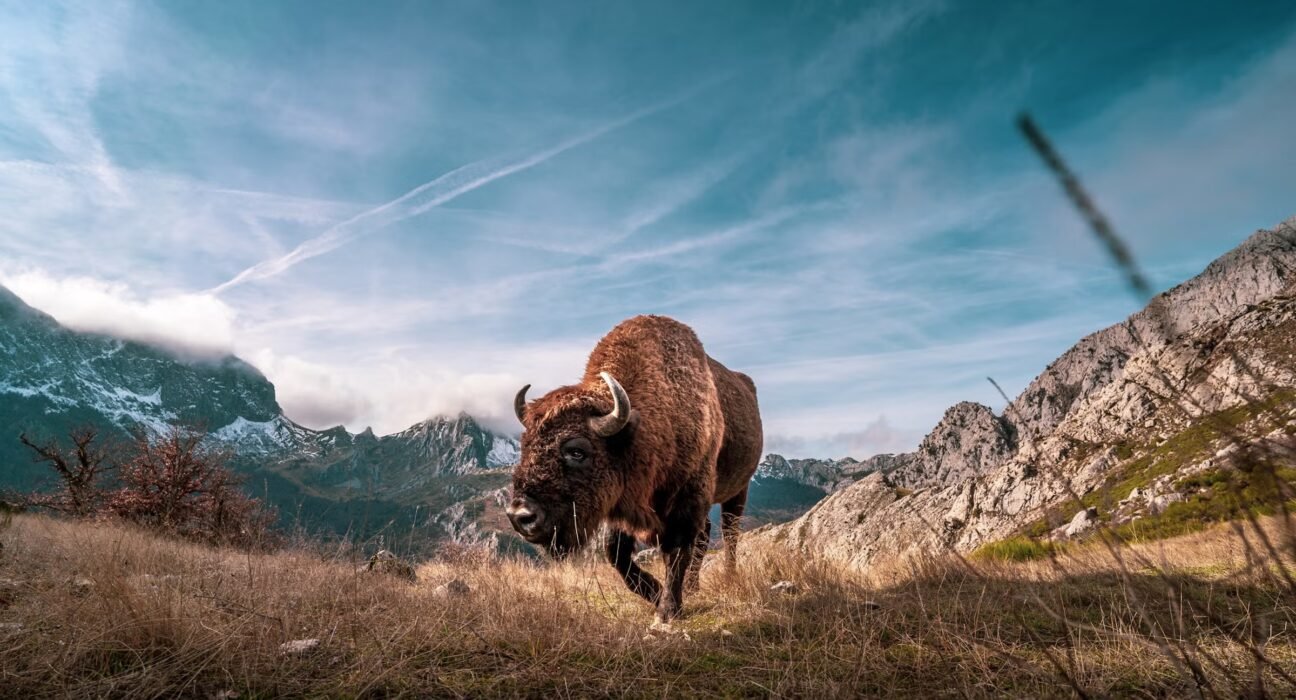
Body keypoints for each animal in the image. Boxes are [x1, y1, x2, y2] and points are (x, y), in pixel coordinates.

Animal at [508, 315, 763, 622]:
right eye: (525, 446)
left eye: (577, 451)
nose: (520, 516)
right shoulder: (623, 504)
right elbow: (616, 554)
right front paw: (655, 592)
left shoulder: (686, 500)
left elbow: (676, 550)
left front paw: (668, 610)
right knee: (705, 537)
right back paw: (692, 588)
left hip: (738, 490)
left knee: (729, 532)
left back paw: (727, 576)